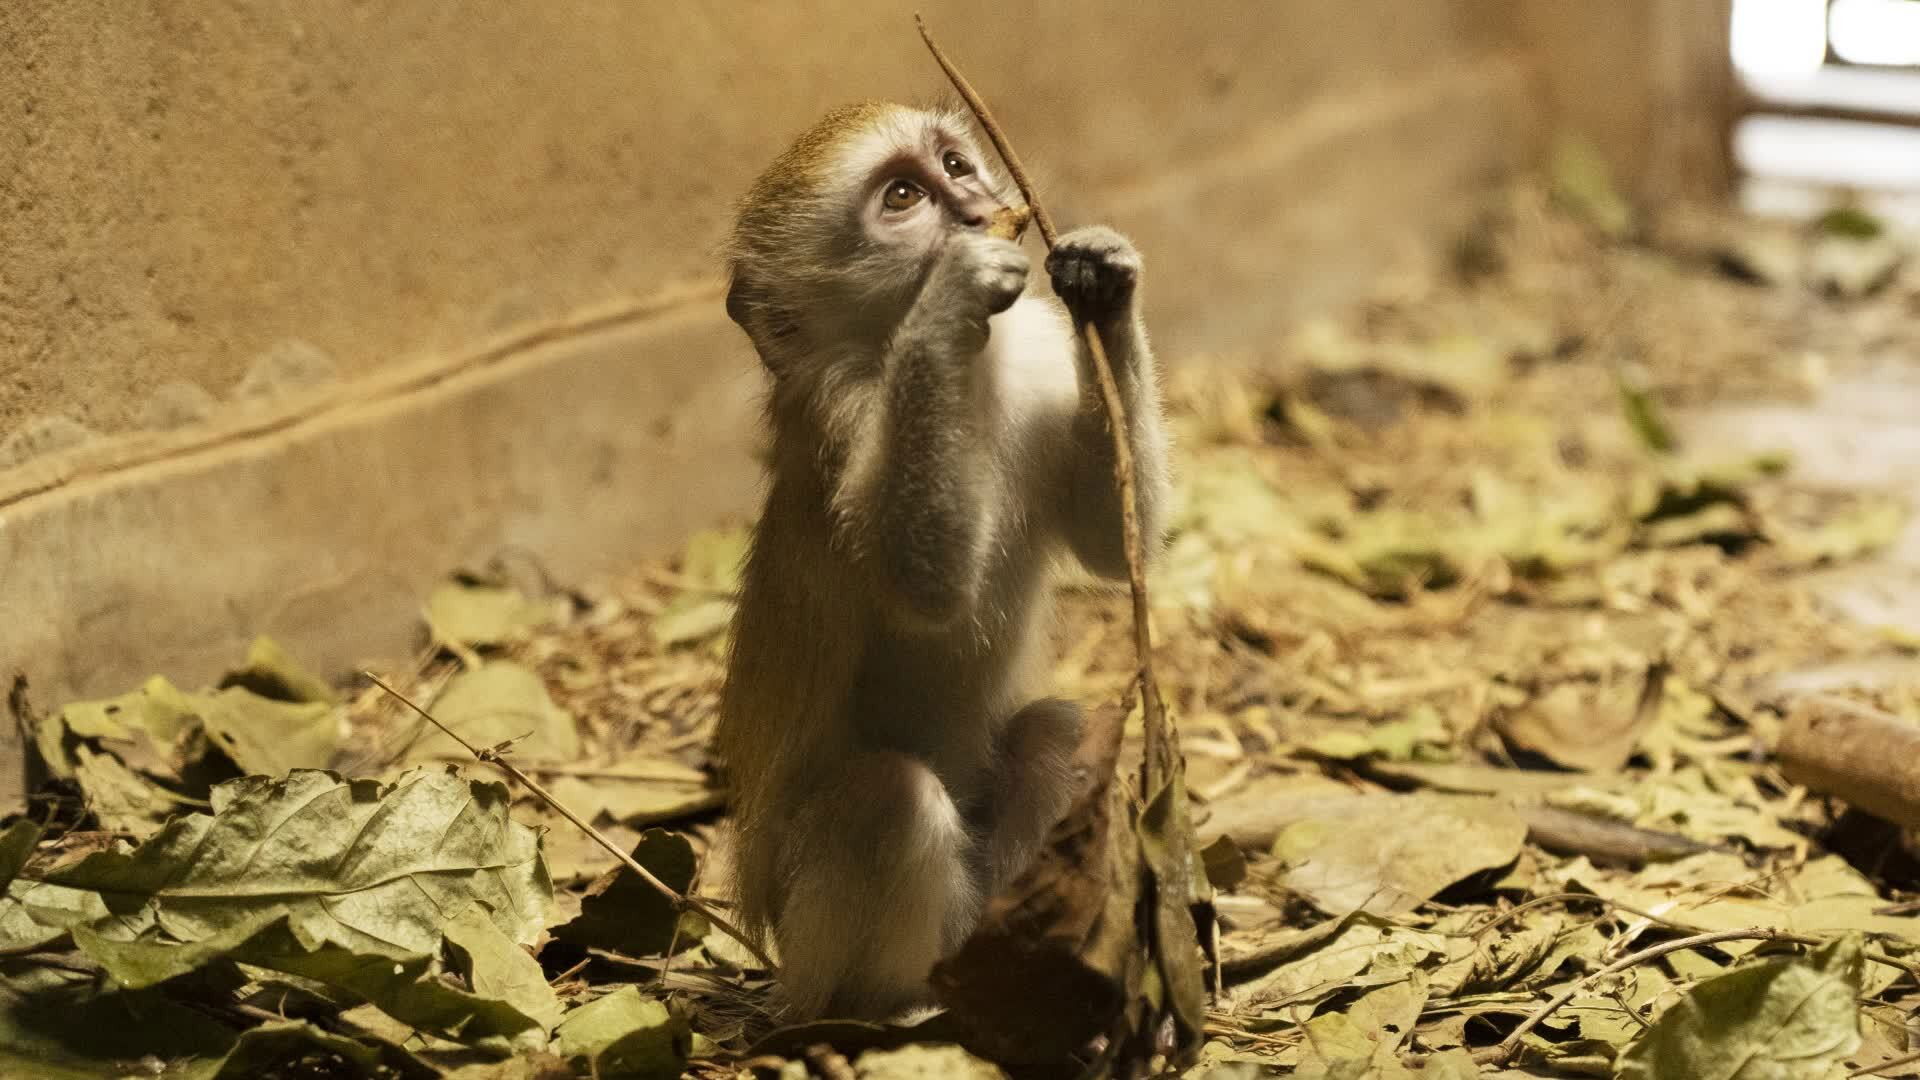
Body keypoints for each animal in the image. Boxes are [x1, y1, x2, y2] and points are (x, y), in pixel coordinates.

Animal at [714, 100, 1170, 1021]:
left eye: (955, 165)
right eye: (901, 198)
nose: (974, 207)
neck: (982, 367)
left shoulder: (1035, 355)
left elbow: (1114, 543)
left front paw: (1103, 280)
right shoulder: (846, 413)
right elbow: (922, 582)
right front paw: (950, 295)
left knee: (1054, 735)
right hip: (815, 948)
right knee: (889, 797)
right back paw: (899, 1007)